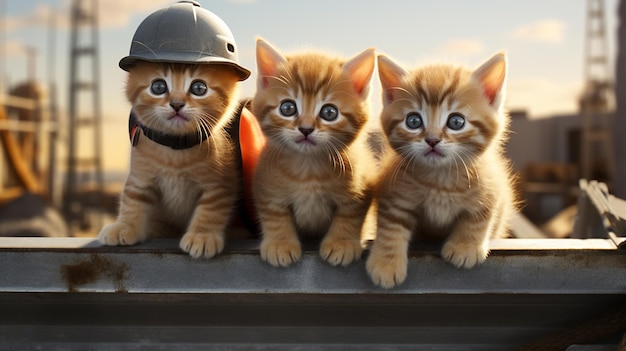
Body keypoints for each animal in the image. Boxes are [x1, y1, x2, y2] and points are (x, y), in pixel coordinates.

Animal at [98, 62, 241, 258]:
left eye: (199, 88)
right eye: (158, 87)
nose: (177, 104)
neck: (175, 150)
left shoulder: (219, 185)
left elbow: (212, 208)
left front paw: (202, 236)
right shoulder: (140, 177)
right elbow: (132, 199)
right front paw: (124, 226)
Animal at [249, 38, 376, 268]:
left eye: (329, 112)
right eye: (287, 108)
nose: (306, 129)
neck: (308, 171)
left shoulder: (361, 188)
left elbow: (349, 217)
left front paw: (341, 243)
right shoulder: (266, 188)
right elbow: (274, 215)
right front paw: (280, 244)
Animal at [364, 53, 516, 288]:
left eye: (456, 121)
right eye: (413, 121)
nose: (432, 140)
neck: (441, 180)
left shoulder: (492, 189)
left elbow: (478, 217)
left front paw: (465, 248)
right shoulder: (394, 193)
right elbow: (391, 227)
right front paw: (386, 264)